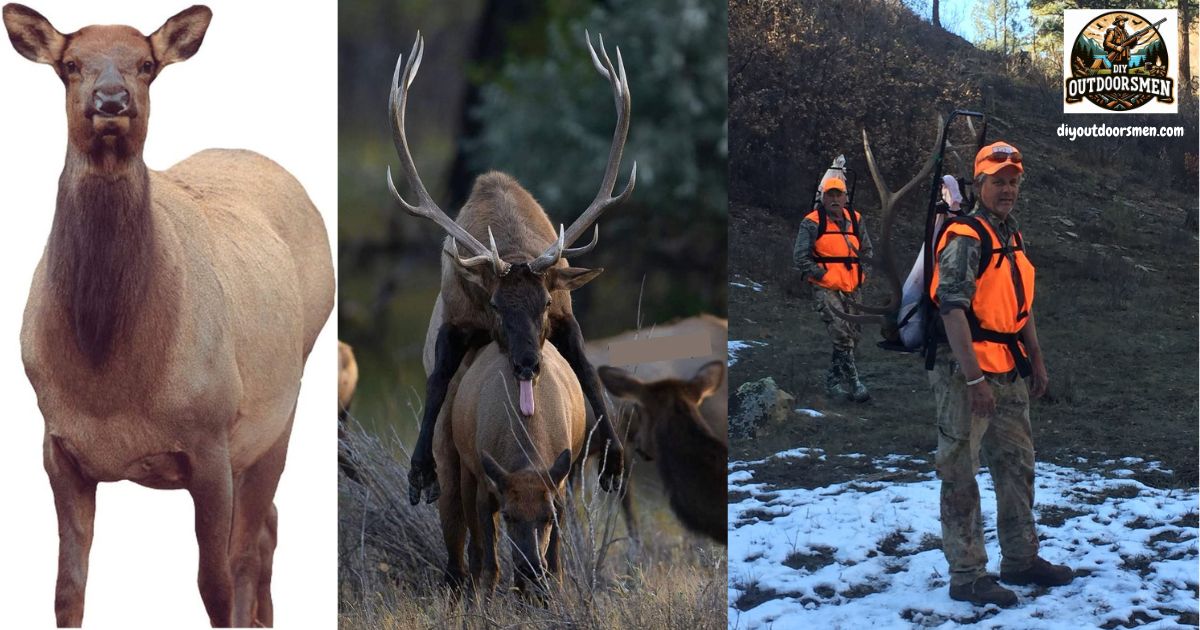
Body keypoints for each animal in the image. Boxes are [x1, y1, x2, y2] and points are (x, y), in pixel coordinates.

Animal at [3, 5, 334, 627]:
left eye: (147, 65)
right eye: (70, 64)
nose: (112, 100)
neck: (109, 380)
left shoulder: (210, 439)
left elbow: (214, 585)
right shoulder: (57, 446)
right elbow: (66, 590)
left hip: (278, 413)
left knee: (250, 546)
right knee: (270, 527)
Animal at [390, 32, 634, 507]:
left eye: (543, 304)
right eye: (496, 306)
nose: (527, 365)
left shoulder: (566, 312)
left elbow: (590, 373)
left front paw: (614, 465)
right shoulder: (455, 316)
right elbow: (435, 385)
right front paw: (420, 472)